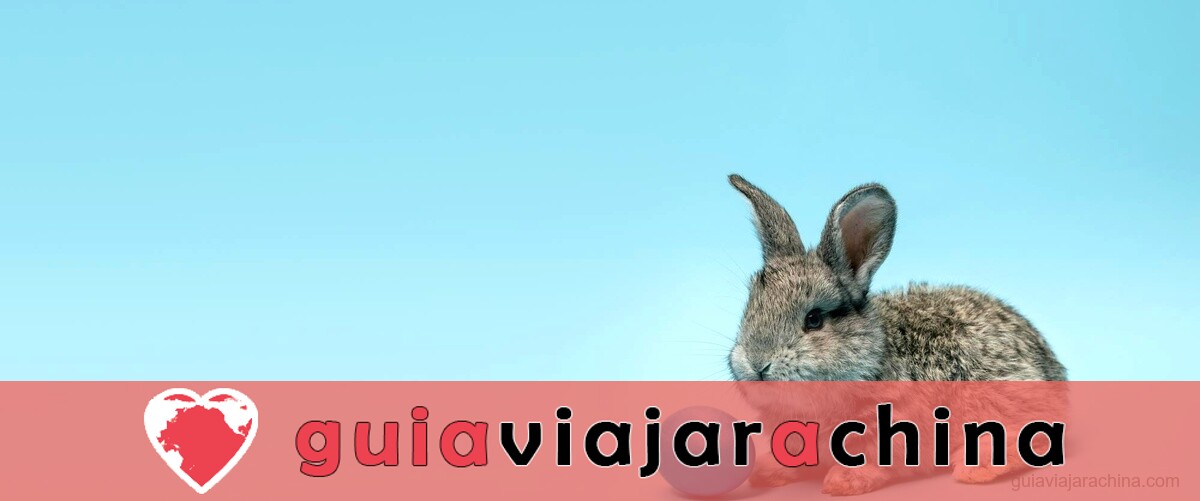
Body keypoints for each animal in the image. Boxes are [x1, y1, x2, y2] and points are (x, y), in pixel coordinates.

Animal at [724, 174, 1067, 494]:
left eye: (814, 319)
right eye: (750, 307)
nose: (757, 363)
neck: (870, 361)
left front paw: (842, 482)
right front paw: (768, 473)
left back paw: (975, 468)